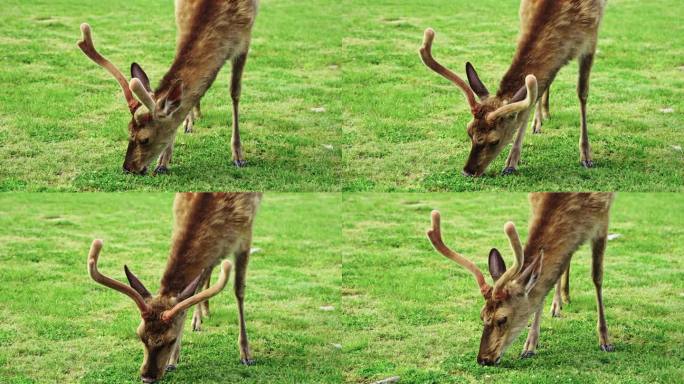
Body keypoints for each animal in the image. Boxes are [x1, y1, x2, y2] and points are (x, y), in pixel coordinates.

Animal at [77, 0, 260, 174]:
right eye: (129, 130)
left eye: (145, 139)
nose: (128, 168)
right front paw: (163, 161)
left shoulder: (245, 40)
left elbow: (234, 92)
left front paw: (238, 156)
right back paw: (190, 121)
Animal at [87, 194, 262, 382]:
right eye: (140, 335)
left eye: (171, 339)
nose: (147, 377)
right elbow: (190, 296)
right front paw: (173, 359)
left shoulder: (245, 234)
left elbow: (239, 290)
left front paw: (246, 354)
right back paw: (201, 316)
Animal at [420, 0, 608, 177]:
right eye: (468, 131)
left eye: (494, 140)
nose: (468, 171)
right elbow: (529, 103)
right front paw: (512, 162)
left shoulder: (591, 38)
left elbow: (582, 93)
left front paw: (586, 155)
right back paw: (540, 119)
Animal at [428, 192, 616, 366]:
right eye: (482, 316)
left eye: (502, 319)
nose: (483, 359)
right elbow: (542, 290)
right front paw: (530, 345)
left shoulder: (603, 215)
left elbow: (597, 277)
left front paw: (605, 340)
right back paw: (559, 301)